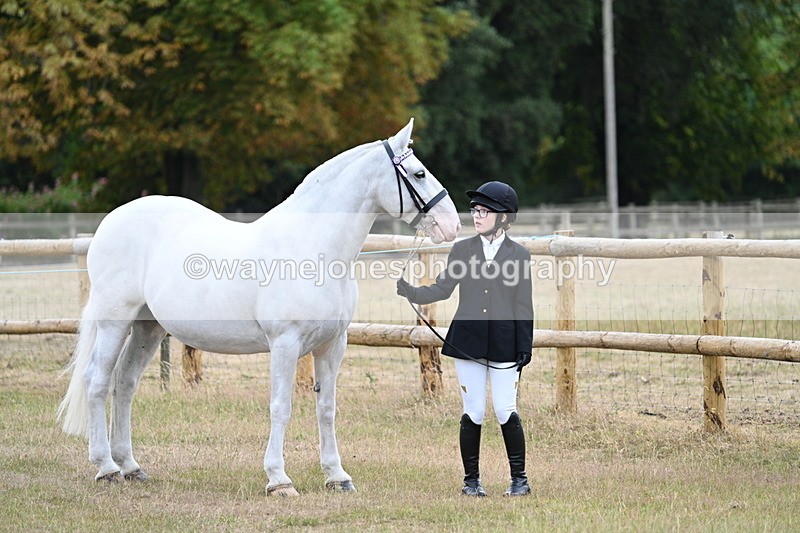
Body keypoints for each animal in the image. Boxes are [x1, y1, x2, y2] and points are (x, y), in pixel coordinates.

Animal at [57, 118, 461, 496]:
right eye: (419, 173)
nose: (452, 225)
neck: (313, 246)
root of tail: (111, 221)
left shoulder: (333, 345)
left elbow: (327, 409)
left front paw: (337, 476)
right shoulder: (285, 343)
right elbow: (280, 407)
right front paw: (279, 479)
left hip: (148, 327)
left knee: (125, 384)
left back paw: (131, 466)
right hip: (115, 321)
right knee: (97, 381)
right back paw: (106, 467)